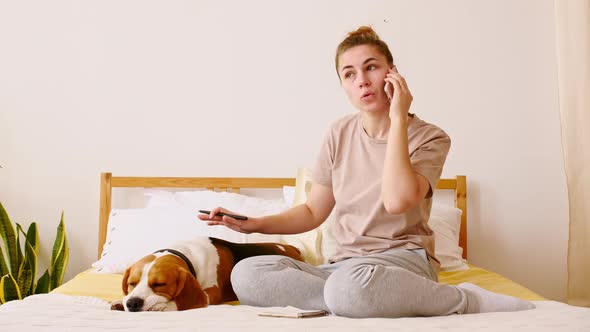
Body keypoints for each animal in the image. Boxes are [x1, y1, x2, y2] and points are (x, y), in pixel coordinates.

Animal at [110, 236, 302, 312]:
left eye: (160, 284)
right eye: (131, 283)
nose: (133, 303)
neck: (187, 254)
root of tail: (291, 248)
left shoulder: (211, 294)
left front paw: (163, 306)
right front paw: (120, 301)